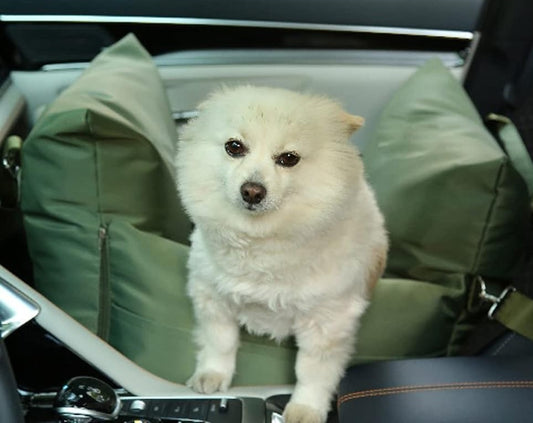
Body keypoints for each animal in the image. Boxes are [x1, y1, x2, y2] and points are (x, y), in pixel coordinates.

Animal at [175, 86, 386, 423]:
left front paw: (306, 408)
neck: (261, 243)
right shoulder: (212, 296)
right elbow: (220, 341)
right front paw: (212, 374)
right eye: (234, 147)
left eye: (289, 158)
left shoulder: (327, 323)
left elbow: (312, 371)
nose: (252, 190)